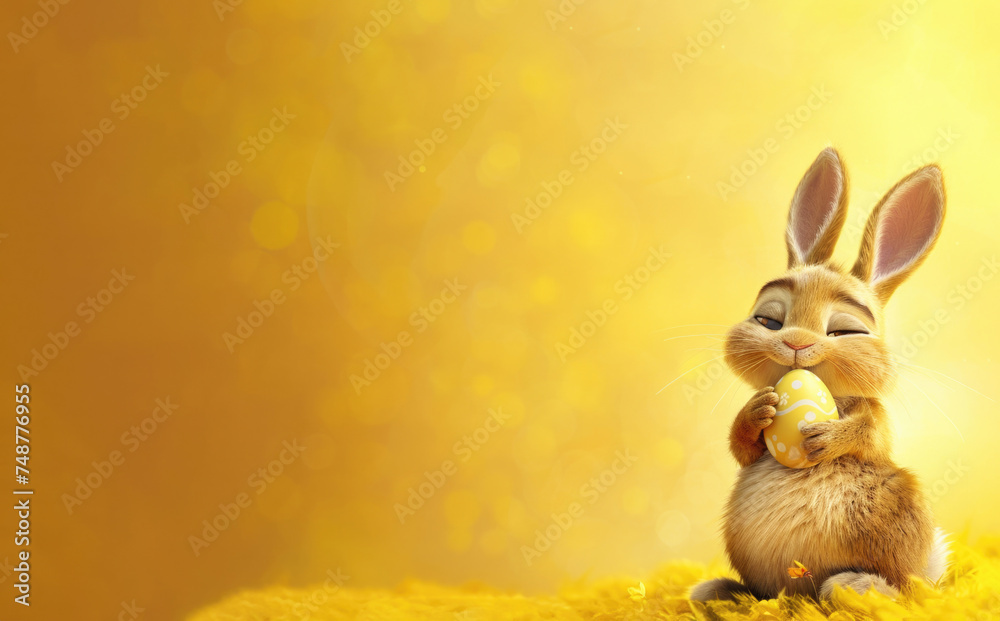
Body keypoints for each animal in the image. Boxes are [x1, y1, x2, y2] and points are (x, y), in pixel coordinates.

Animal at [690, 147, 951, 602]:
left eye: (844, 332)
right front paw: (759, 409)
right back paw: (719, 593)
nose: (795, 343)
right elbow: (743, 447)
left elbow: (871, 434)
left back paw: (855, 586)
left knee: (902, 589)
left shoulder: (876, 418)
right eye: (768, 320)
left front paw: (825, 438)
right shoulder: (750, 449)